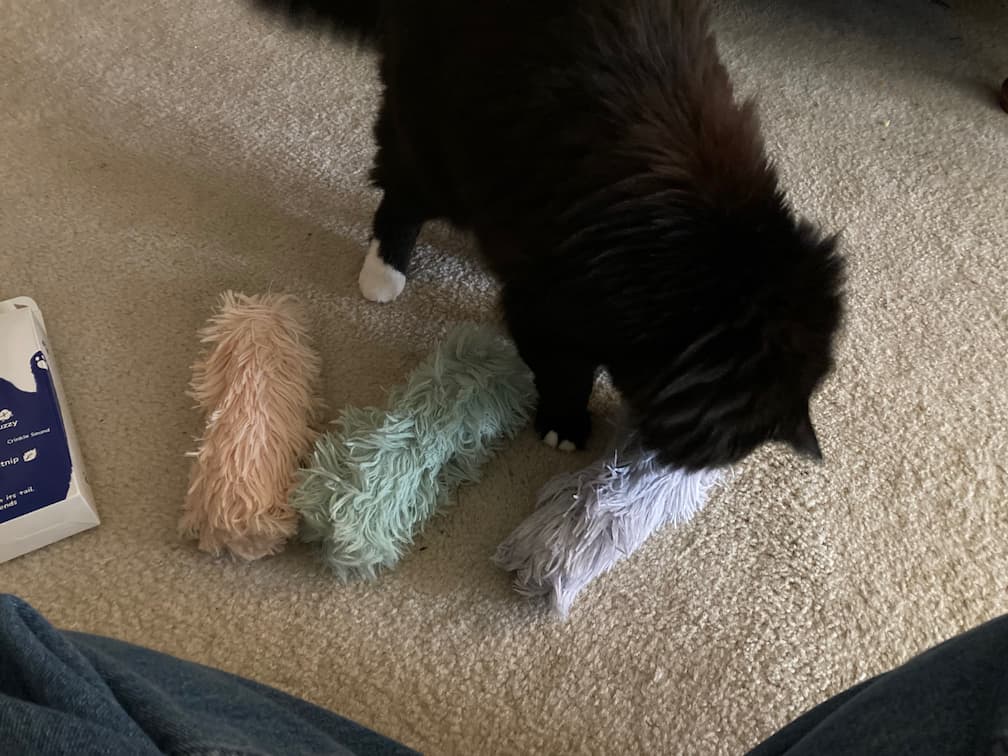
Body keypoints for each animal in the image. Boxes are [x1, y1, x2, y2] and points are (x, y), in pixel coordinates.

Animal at [254, 0, 842, 471]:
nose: (654, 463)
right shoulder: (550, 303)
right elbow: (563, 369)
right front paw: (565, 424)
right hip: (436, 130)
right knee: (398, 190)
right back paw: (384, 273)